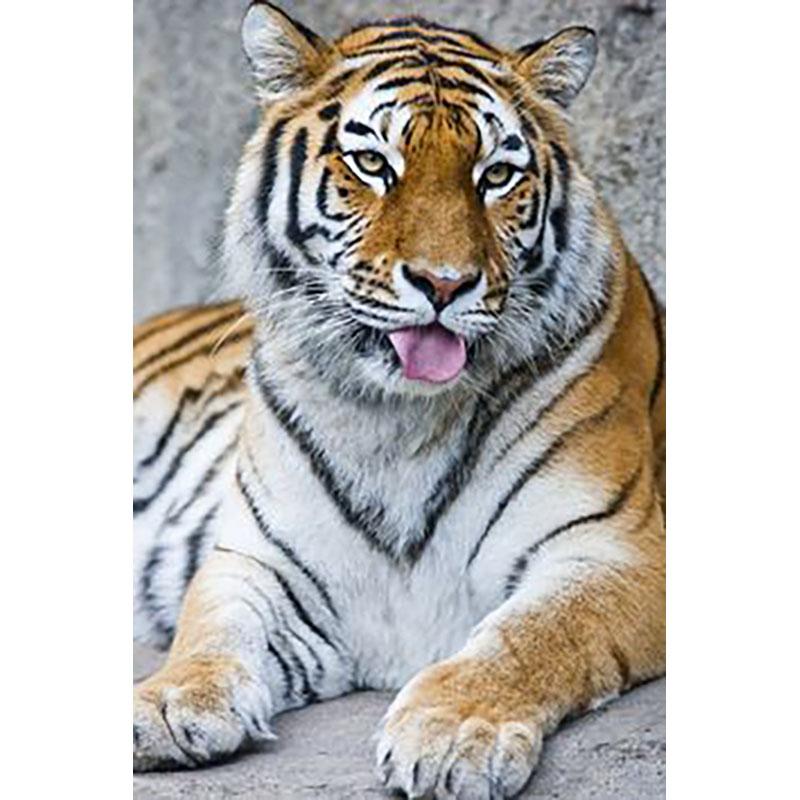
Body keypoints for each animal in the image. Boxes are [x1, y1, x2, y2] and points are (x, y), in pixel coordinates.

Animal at [132, 3, 665, 798]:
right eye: (375, 165)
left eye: (496, 175)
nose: (445, 283)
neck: (394, 420)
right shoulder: (260, 558)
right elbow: (214, 627)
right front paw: (168, 701)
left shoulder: (615, 549)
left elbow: (533, 635)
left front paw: (456, 731)